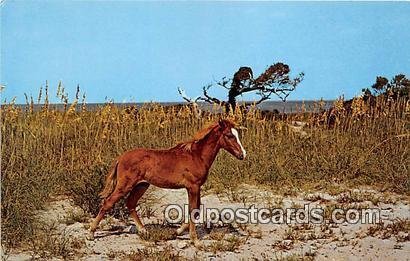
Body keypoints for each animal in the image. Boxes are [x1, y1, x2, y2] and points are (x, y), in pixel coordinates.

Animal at [89, 118, 247, 244]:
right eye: (229, 135)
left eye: (237, 134)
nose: (242, 154)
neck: (197, 156)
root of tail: (120, 157)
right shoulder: (193, 186)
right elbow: (192, 210)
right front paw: (195, 240)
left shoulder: (197, 187)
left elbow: (196, 210)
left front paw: (176, 232)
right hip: (125, 185)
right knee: (108, 203)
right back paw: (91, 233)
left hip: (142, 185)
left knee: (130, 203)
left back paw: (144, 231)